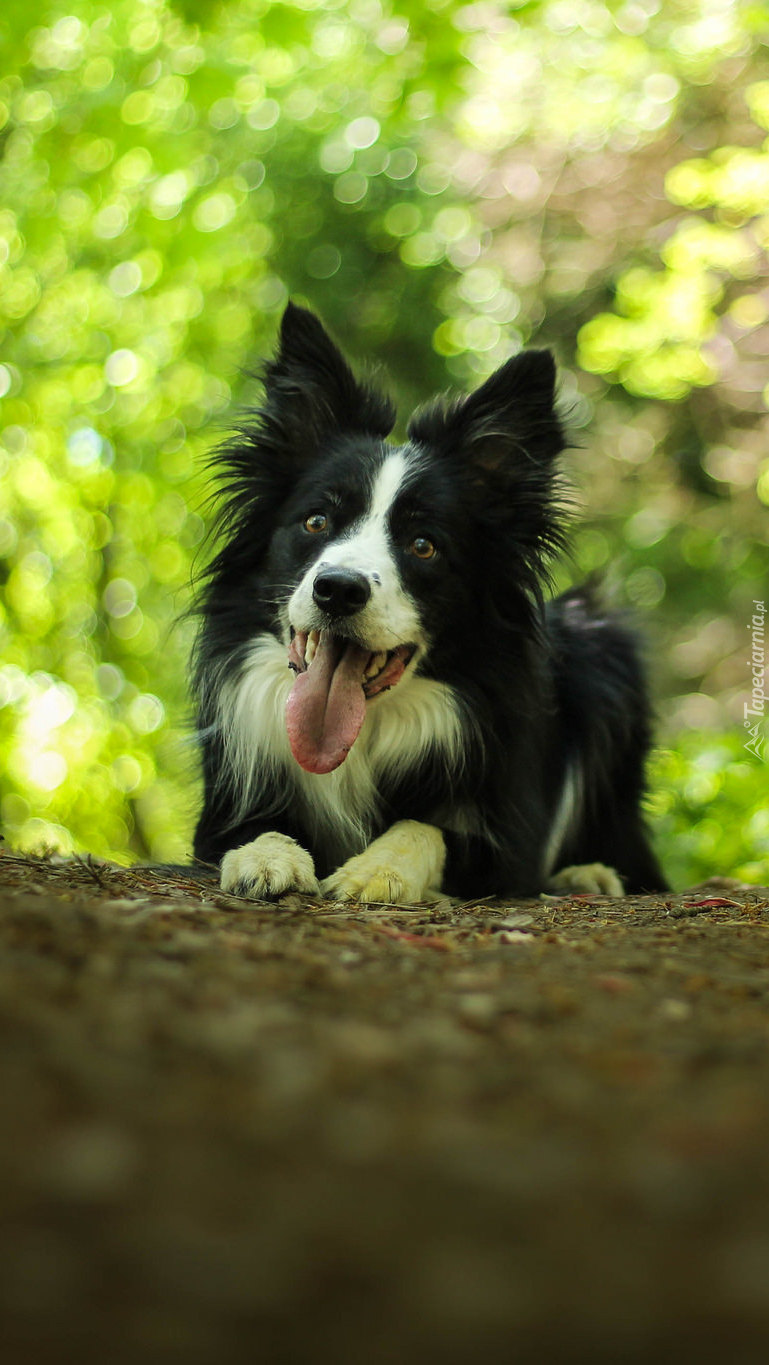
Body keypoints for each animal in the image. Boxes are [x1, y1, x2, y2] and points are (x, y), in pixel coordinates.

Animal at [193, 307, 669, 906]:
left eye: (423, 545)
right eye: (316, 520)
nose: (338, 589)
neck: (366, 733)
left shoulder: (507, 843)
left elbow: (426, 828)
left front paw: (376, 870)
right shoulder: (224, 804)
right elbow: (252, 827)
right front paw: (265, 855)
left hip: (601, 647)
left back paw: (589, 874)